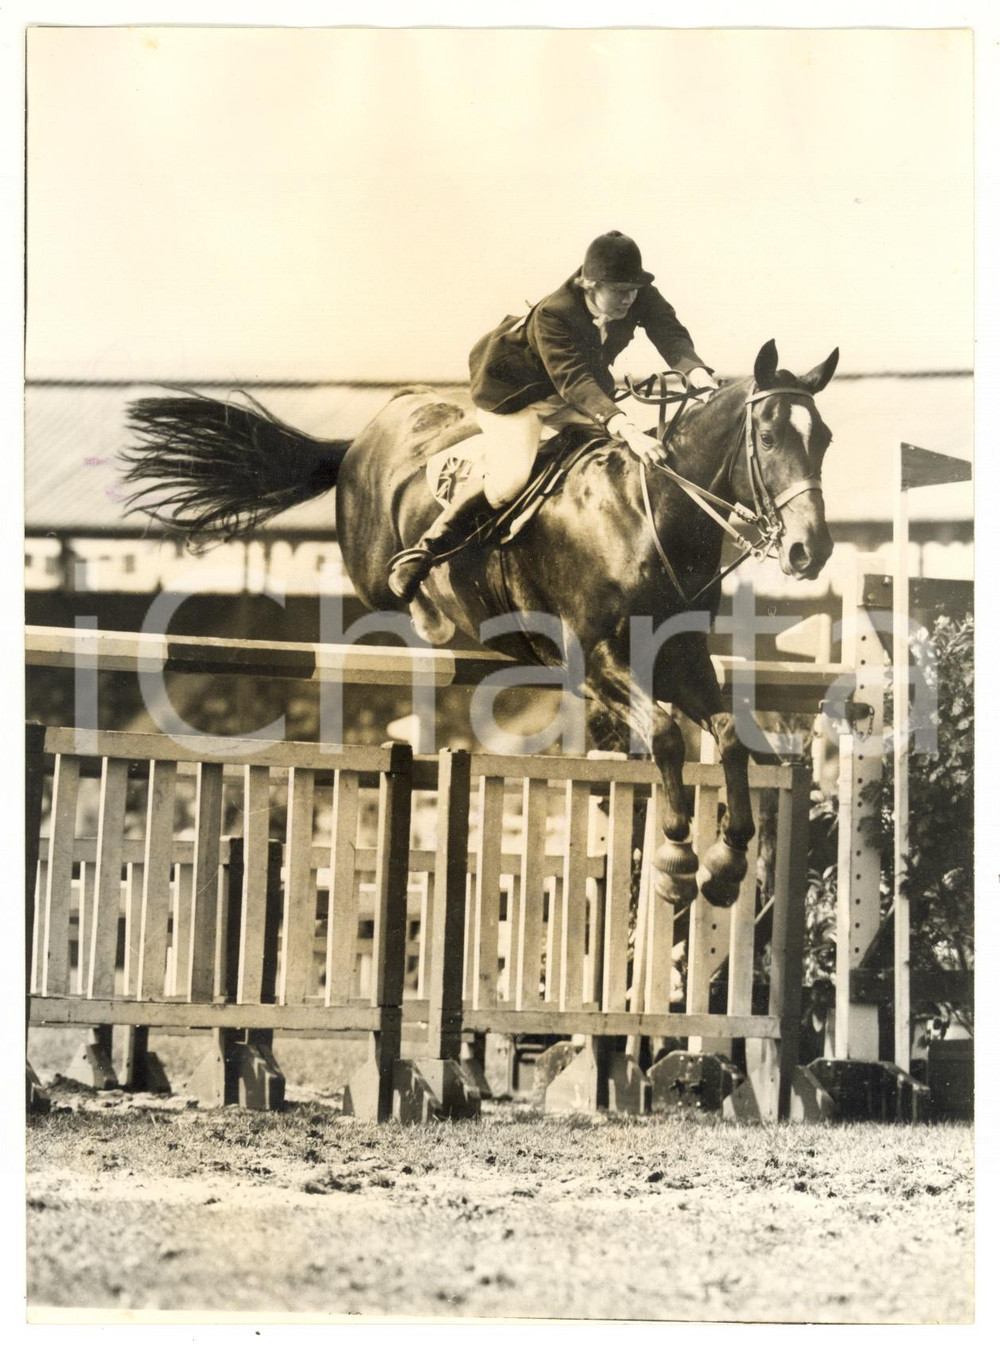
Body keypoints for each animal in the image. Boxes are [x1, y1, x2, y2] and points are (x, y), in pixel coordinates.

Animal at [121, 338, 838, 907]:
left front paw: (727, 862)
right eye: (769, 436)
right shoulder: (594, 659)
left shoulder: (683, 656)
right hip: (369, 556)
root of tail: (362, 435)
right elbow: (664, 734)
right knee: (389, 583)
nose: (813, 550)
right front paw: (677, 860)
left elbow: (728, 733)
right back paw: (424, 595)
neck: (646, 512)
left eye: (824, 438)